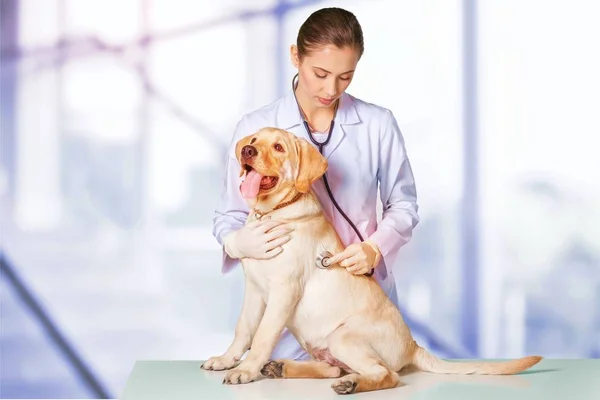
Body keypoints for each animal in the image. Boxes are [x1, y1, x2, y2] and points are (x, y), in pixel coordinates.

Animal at [203, 127, 544, 394]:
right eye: (254, 139)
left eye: (278, 147)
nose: (247, 150)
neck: (273, 212)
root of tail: (414, 346)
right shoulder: (254, 290)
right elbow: (243, 330)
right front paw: (226, 360)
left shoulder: (284, 291)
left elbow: (262, 335)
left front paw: (245, 369)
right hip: (327, 344)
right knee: (334, 367)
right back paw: (287, 368)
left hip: (343, 336)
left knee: (385, 374)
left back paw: (351, 384)